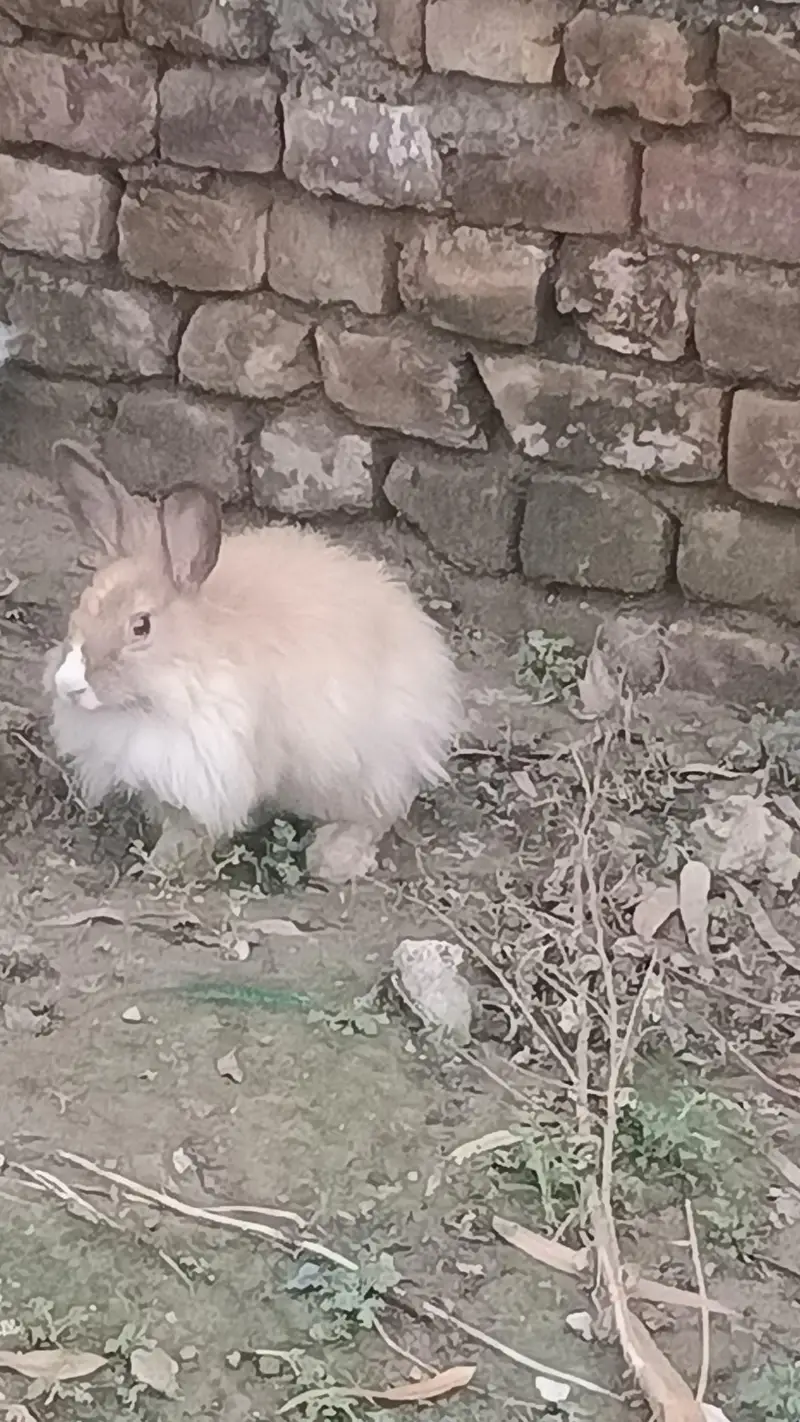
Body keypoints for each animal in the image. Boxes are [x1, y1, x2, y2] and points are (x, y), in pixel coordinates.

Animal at [44, 440, 461, 884]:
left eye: (141, 626)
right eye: (84, 605)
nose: (68, 684)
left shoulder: (211, 766)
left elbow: (191, 829)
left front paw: (165, 865)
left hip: (362, 768)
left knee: (377, 812)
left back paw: (333, 858)